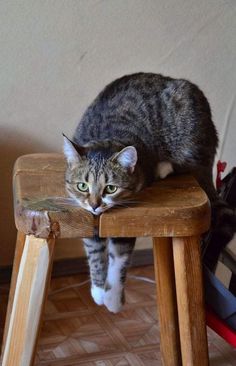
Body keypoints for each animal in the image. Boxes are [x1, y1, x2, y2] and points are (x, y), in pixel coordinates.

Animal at [63, 73, 236, 314]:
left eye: (111, 188)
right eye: (82, 186)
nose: (95, 205)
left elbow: (119, 259)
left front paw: (113, 299)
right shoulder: (89, 219)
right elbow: (95, 253)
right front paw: (98, 291)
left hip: (190, 140)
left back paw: (163, 167)